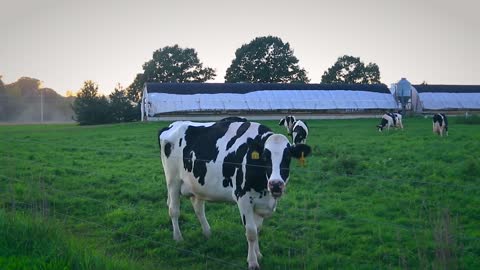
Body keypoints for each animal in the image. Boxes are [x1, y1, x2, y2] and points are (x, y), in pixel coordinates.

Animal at [159, 119, 314, 268]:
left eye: (287, 157)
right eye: (265, 157)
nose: (276, 184)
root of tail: (173, 124)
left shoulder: (261, 203)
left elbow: (258, 229)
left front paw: (258, 254)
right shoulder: (243, 198)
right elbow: (251, 232)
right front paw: (252, 262)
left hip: (197, 184)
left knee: (198, 208)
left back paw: (207, 232)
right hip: (173, 181)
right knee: (174, 210)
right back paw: (178, 237)